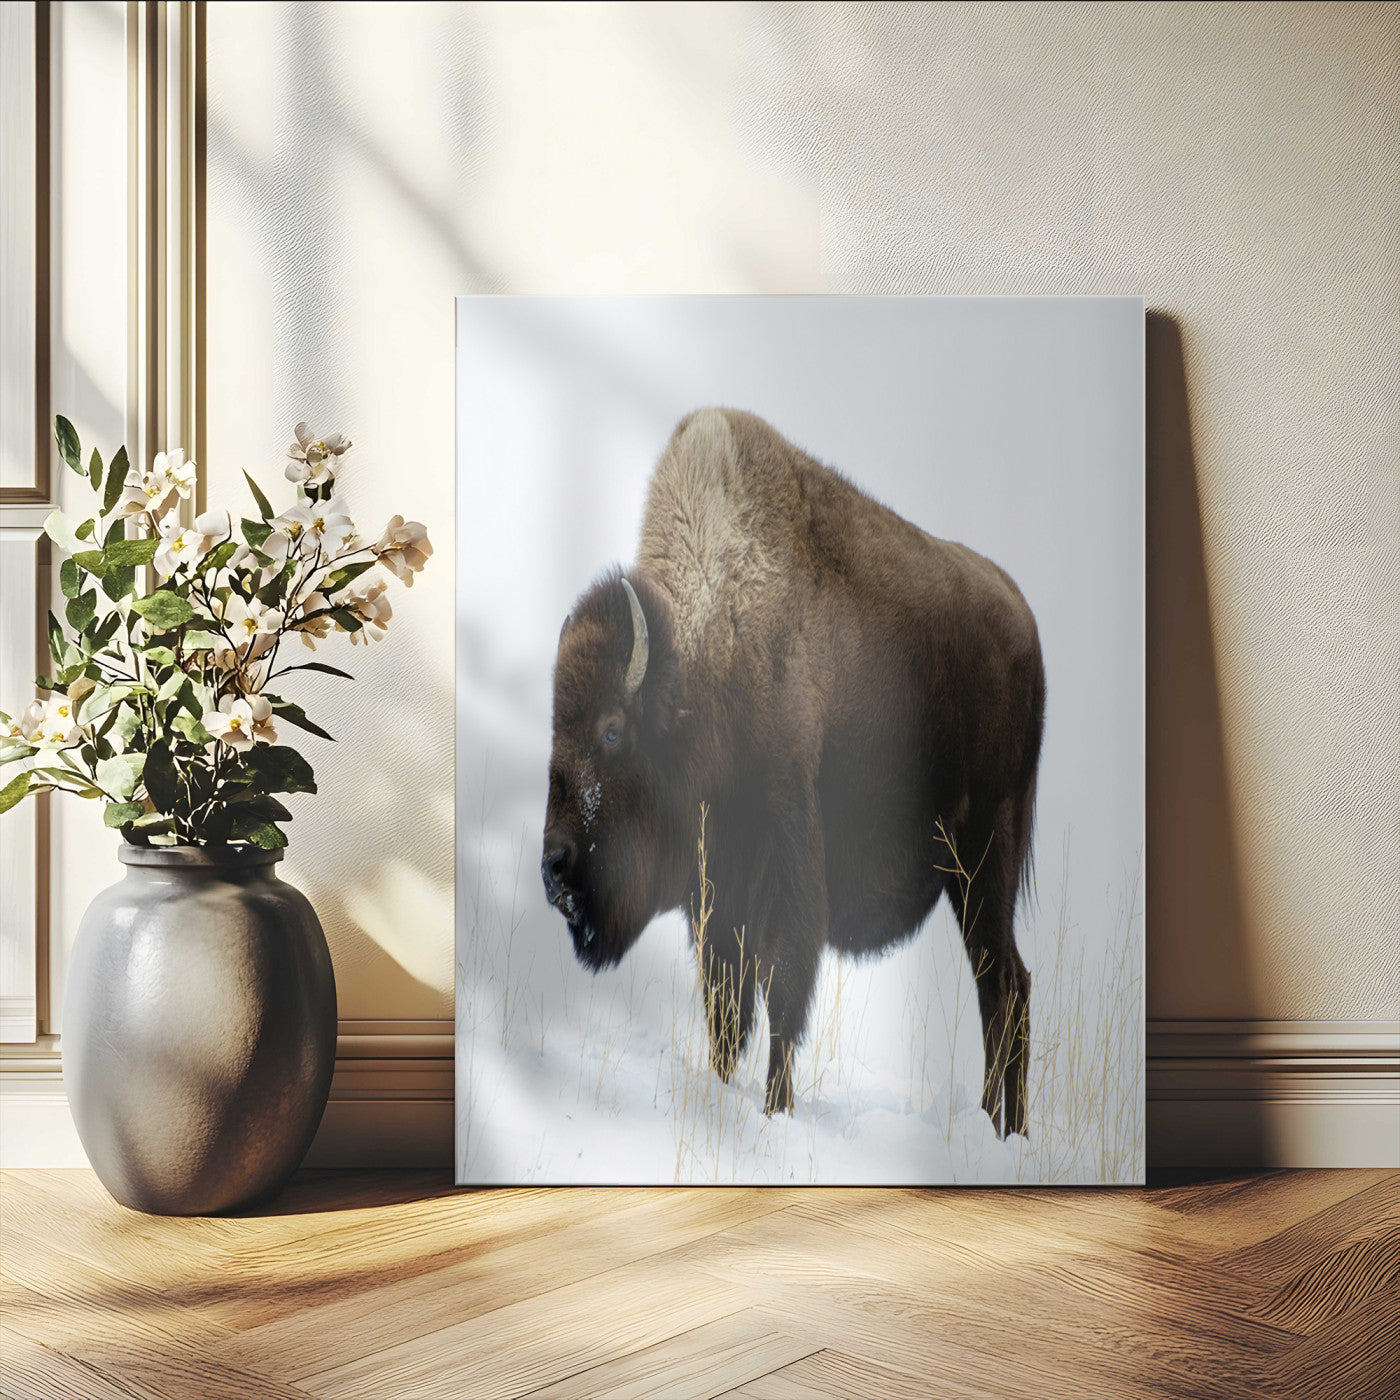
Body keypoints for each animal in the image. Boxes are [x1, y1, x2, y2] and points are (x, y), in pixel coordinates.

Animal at [542, 407, 1044, 1135]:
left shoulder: (786, 864)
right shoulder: (715, 891)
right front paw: (725, 1090)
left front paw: (776, 1109)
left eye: (612, 729)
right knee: (1007, 984)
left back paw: (999, 1129)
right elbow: (726, 1008)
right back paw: (1001, 1129)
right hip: (966, 872)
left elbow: (782, 996)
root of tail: (1022, 617)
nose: (554, 867)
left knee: (1000, 983)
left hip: (986, 852)